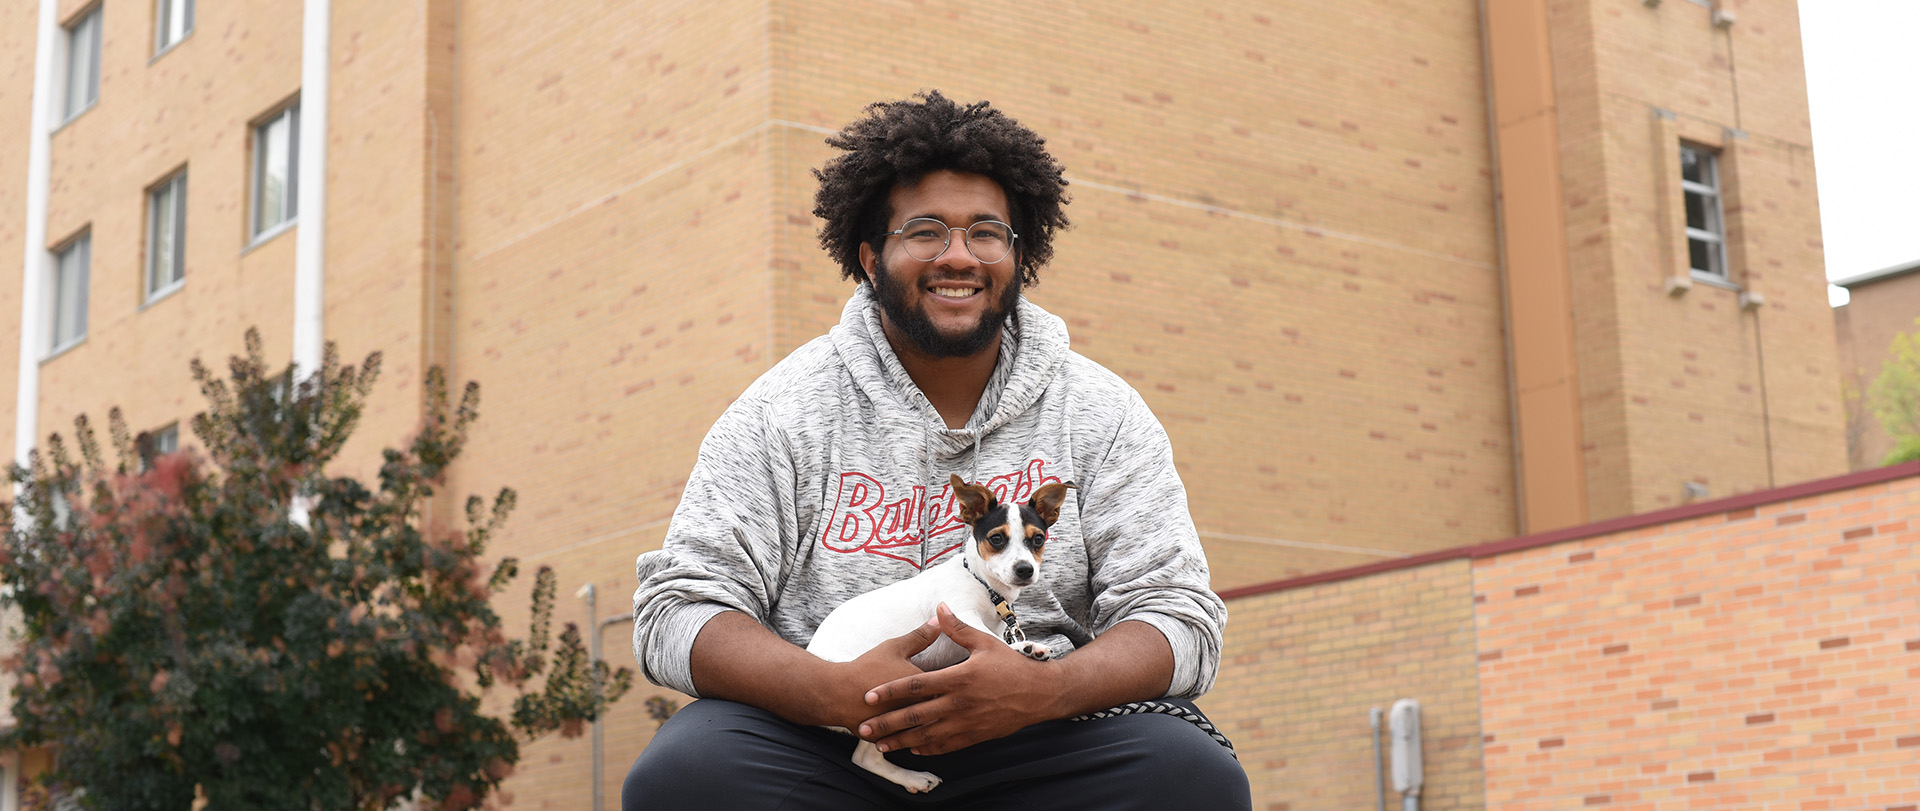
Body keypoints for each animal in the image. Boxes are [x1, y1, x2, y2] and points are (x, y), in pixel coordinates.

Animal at [806, 472, 1082, 795]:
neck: (983, 585)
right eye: (996, 539)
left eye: (1038, 539)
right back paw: (912, 778)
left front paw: (1022, 646)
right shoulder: (959, 612)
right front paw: (1025, 648)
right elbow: (990, 640)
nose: (1025, 569)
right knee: (865, 758)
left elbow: (994, 638)